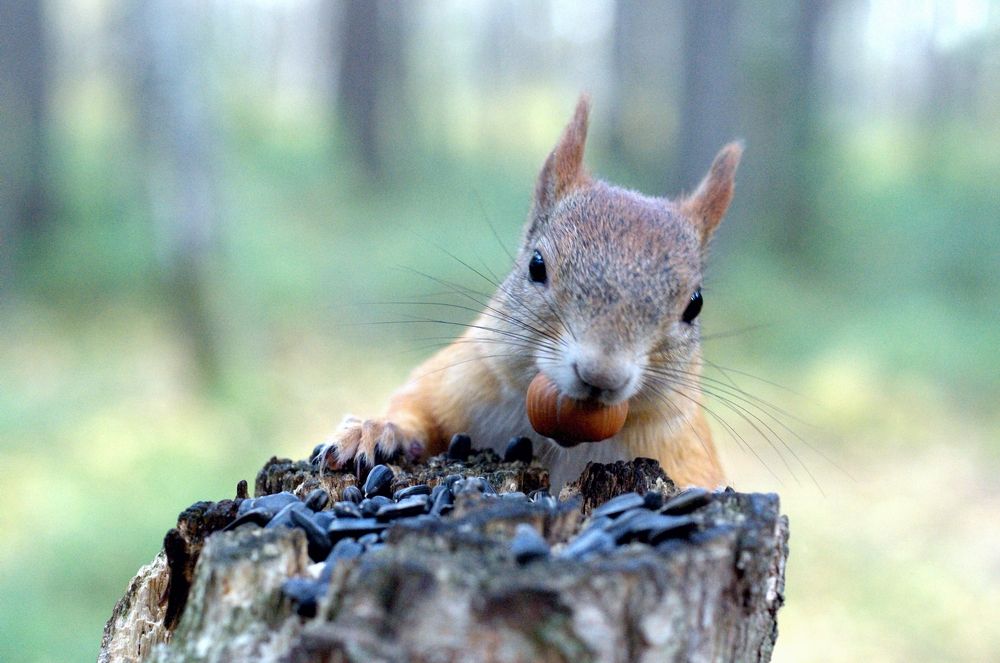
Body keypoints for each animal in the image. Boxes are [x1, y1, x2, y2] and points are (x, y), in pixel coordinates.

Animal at [320, 96, 742, 489]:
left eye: (694, 305)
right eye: (536, 266)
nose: (601, 375)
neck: (560, 443)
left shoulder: (683, 446)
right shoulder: (463, 377)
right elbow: (416, 407)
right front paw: (373, 431)